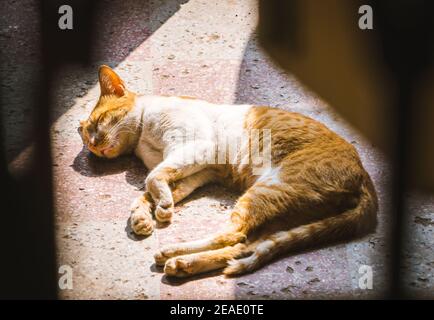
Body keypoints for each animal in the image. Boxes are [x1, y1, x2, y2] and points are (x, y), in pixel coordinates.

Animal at [79, 65, 378, 278]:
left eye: (98, 123)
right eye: (87, 141)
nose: (94, 147)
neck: (142, 140)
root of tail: (365, 178)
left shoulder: (196, 147)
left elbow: (152, 180)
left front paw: (160, 207)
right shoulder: (200, 171)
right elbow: (151, 190)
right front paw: (143, 216)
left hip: (269, 188)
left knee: (232, 234)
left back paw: (174, 252)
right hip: (283, 212)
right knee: (242, 244)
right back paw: (184, 264)